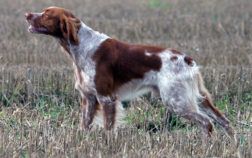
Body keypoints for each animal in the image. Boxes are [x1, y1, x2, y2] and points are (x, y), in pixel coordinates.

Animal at [24, 6, 235, 139]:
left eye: (47, 14)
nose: (27, 14)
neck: (83, 46)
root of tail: (187, 59)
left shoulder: (107, 97)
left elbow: (109, 127)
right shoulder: (89, 98)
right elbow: (85, 124)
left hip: (177, 100)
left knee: (207, 123)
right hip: (197, 98)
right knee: (223, 120)